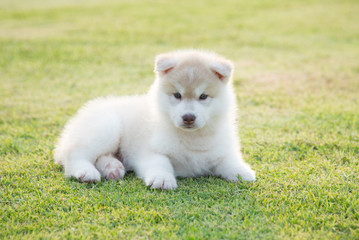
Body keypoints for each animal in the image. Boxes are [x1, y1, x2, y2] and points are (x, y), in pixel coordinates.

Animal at [54, 49, 256, 189]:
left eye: (203, 96)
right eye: (177, 95)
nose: (188, 117)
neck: (192, 139)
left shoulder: (220, 150)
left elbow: (229, 161)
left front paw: (243, 172)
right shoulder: (150, 150)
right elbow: (160, 163)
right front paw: (162, 179)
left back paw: (113, 168)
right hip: (107, 127)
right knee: (75, 154)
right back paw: (86, 172)